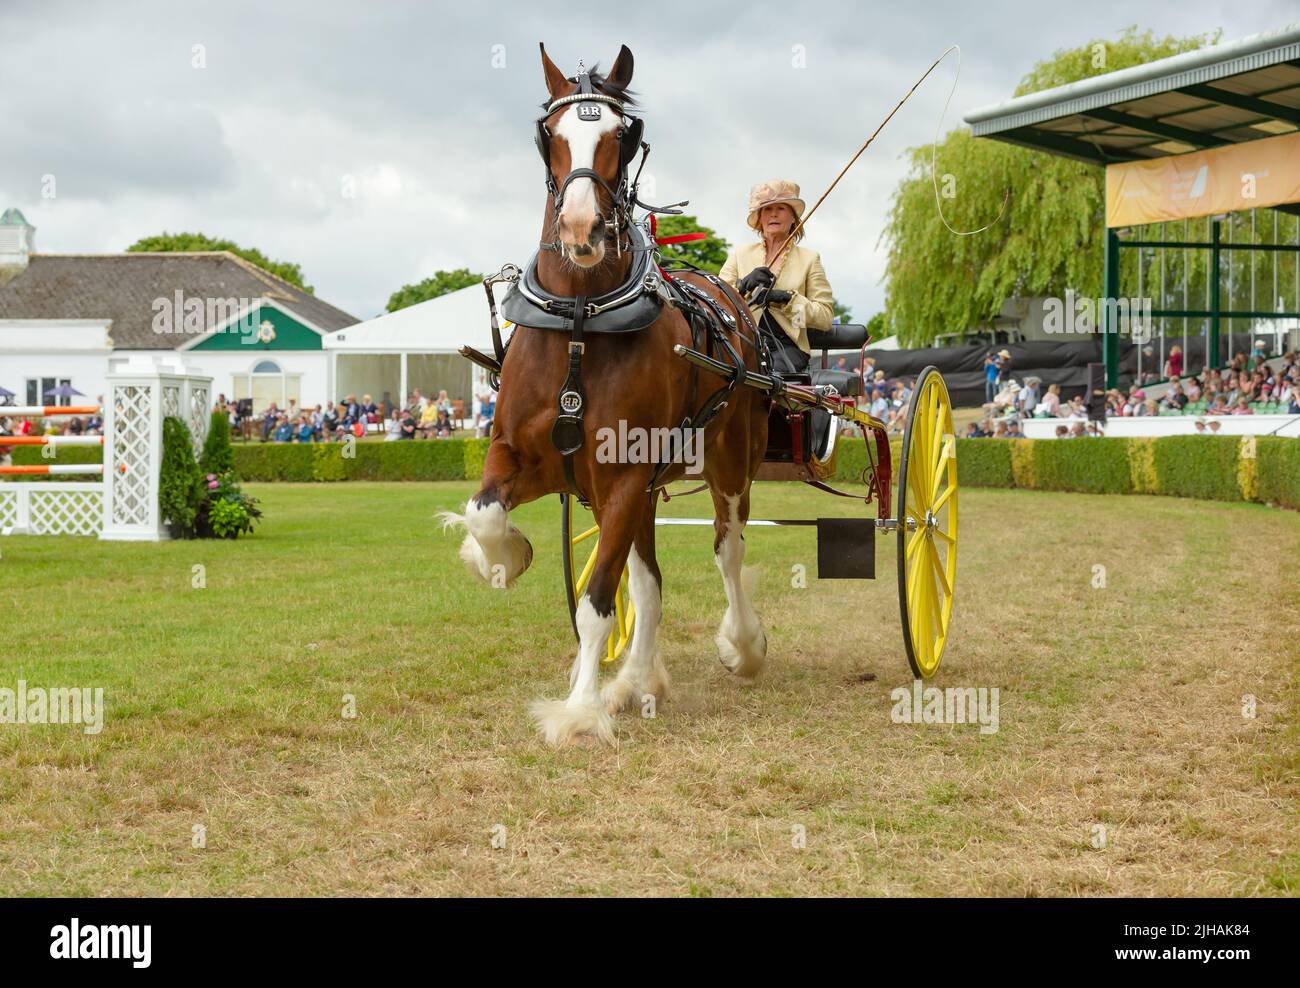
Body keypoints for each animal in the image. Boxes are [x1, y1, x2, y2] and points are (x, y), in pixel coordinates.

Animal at [441, 42, 764, 743]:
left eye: (625, 134)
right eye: (549, 134)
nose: (582, 230)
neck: (581, 320)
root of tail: (732, 299)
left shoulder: (620, 477)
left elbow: (595, 604)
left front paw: (579, 710)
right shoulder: (528, 458)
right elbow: (485, 513)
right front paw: (500, 557)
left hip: (727, 463)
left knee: (728, 552)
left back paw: (743, 645)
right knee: (648, 584)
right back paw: (637, 680)